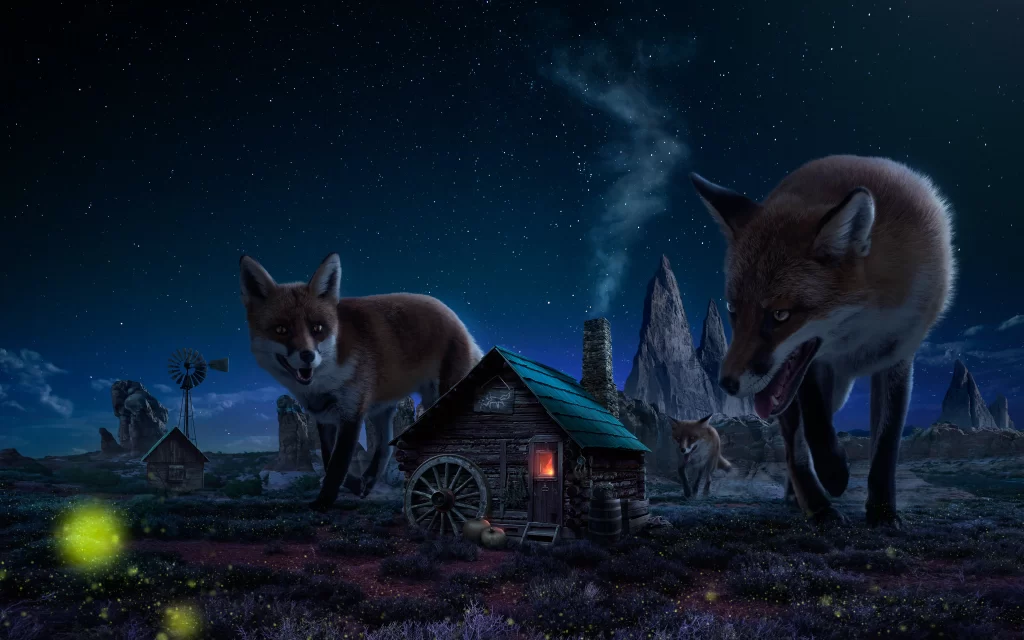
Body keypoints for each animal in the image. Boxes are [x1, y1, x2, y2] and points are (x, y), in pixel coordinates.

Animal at [239, 253, 483, 510]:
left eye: (317, 328)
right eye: (281, 330)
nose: (308, 355)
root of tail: (456, 319)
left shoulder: (351, 413)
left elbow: (337, 465)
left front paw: (323, 502)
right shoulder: (324, 416)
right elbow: (328, 459)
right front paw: (355, 485)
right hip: (381, 411)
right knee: (385, 447)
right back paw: (370, 480)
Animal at [690, 155, 956, 528]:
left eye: (780, 315)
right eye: (732, 310)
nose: (726, 384)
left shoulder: (898, 357)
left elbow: (886, 444)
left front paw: (882, 512)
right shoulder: (813, 367)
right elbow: (815, 427)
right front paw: (833, 473)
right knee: (794, 448)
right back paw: (816, 505)